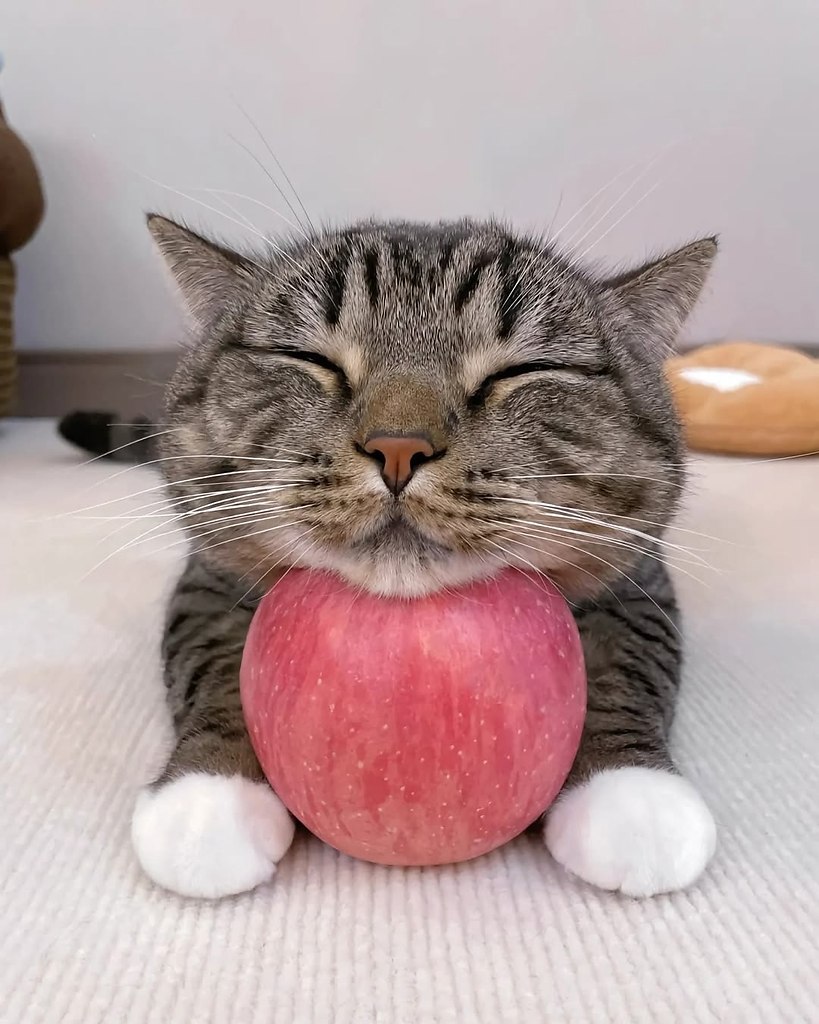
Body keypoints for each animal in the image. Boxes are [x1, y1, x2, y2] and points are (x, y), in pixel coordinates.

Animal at [112, 213, 718, 899]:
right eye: (308, 358)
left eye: (522, 370)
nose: (398, 448)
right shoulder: (209, 571)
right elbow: (210, 658)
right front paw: (208, 799)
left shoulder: (640, 577)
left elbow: (628, 662)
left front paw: (632, 800)